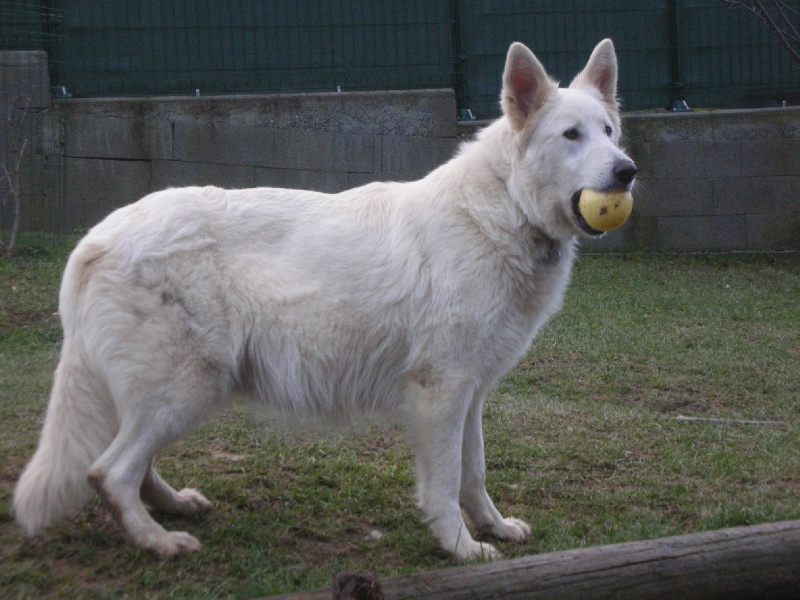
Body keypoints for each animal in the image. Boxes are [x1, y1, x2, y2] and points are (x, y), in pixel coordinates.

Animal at [12, 39, 636, 560]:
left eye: (609, 131)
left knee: (132, 465)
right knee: (109, 472)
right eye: (571, 135)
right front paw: (460, 548)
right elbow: (443, 485)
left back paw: (172, 508)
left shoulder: (471, 393)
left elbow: (474, 473)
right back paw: (159, 542)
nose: (628, 171)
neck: (506, 208)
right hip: (187, 389)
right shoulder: (440, 393)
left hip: (174, 395)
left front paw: (495, 527)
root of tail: (96, 237)